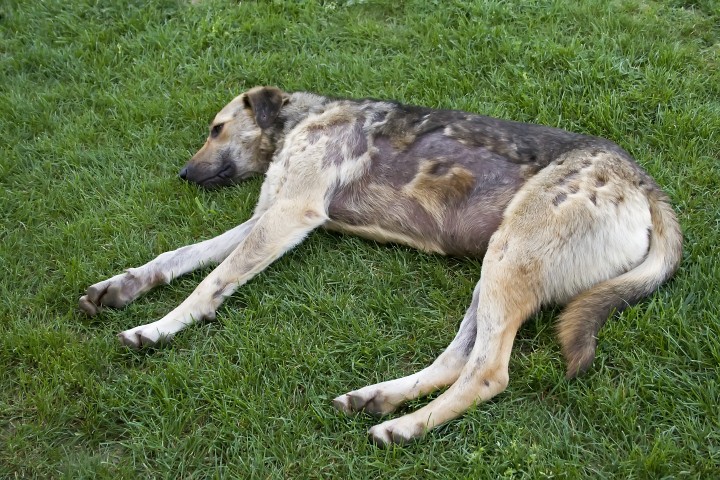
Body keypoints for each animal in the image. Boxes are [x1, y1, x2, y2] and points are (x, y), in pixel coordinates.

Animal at [77, 87, 680, 446]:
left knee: (487, 372)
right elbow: (176, 258)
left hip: (511, 257)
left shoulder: (291, 213)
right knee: (456, 360)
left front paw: (156, 329)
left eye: (216, 128)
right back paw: (379, 398)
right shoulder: (269, 216)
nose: (183, 174)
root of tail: (643, 183)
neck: (307, 115)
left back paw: (402, 427)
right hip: (495, 268)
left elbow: (209, 282)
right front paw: (122, 287)